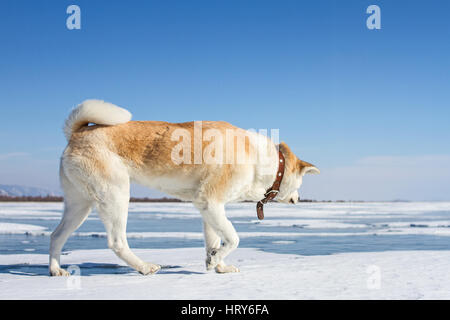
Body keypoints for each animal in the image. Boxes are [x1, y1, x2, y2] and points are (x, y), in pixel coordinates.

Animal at [50, 100, 320, 276]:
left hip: (79, 205)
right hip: (115, 195)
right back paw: (145, 267)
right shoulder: (210, 202)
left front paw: (218, 265)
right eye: (301, 182)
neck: (262, 161)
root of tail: (78, 132)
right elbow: (233, 238)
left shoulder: (209, 209)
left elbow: (215, 240)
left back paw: (56, 270)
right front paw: (215, 261)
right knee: (117, 242)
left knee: (56, 235)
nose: (299, 198)